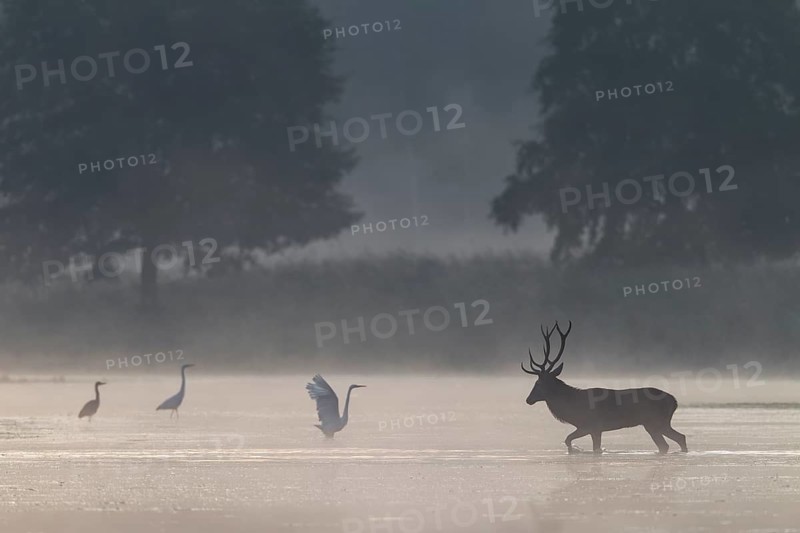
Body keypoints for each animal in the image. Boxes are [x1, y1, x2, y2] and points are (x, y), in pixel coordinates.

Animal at [521, 321, 688, 455]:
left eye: (538, 383)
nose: (528, 399)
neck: (573, 408)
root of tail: (674, 401)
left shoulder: (591, 425)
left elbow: (571, 440)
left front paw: (574, 450)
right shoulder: (595, 429)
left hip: (654, 422)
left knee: (673, 441)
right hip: (657, 423)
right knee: (676, 439)